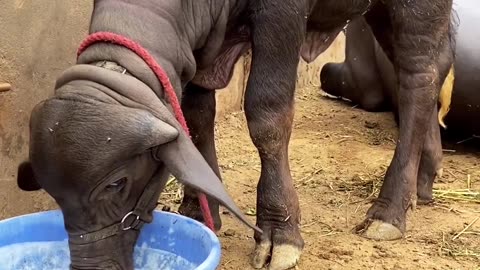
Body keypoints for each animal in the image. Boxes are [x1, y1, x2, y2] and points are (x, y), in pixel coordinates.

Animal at [17, 0, 454, 270]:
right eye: (55, 195)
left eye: (116, 183)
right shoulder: (200, 42)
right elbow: (195, 117)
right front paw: (200, 209)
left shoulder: (280, 18)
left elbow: (266, 113)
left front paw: (278, 231)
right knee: (427, 71)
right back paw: (424, 178)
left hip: (417, 8)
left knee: (418, 77)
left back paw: (390, 210)